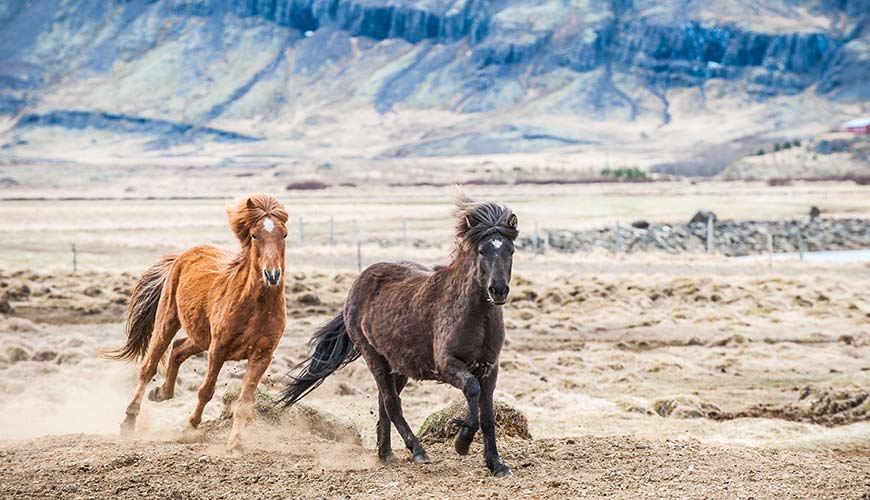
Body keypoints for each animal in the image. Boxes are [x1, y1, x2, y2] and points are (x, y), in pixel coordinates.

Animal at [105, 193, 290, 452]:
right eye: (254, 235)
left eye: (284, 234)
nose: (272, 275)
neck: (256, 307)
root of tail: (182, 256)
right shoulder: (218, 349)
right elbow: (206, 391)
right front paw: (191, 426)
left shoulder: (262, 356)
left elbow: (244, 401)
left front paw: (235, 444)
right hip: (168, 321)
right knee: (149, 366)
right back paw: (129, 420)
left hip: (200, 336)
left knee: (178, 349)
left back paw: (160, 393)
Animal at [282, 192, 516, 476]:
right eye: (482, 250)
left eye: (510, 250)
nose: (498, 290)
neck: (473, 314)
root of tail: (358, 283)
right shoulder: (448, 365)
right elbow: (471, 390)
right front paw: (462, 442)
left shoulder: (490, 368)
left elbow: (488, 417)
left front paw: (496, 465)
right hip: (375, 358)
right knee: (392, 403)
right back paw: (417, 451)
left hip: (399, 366)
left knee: (385, 403)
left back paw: (386, 454)